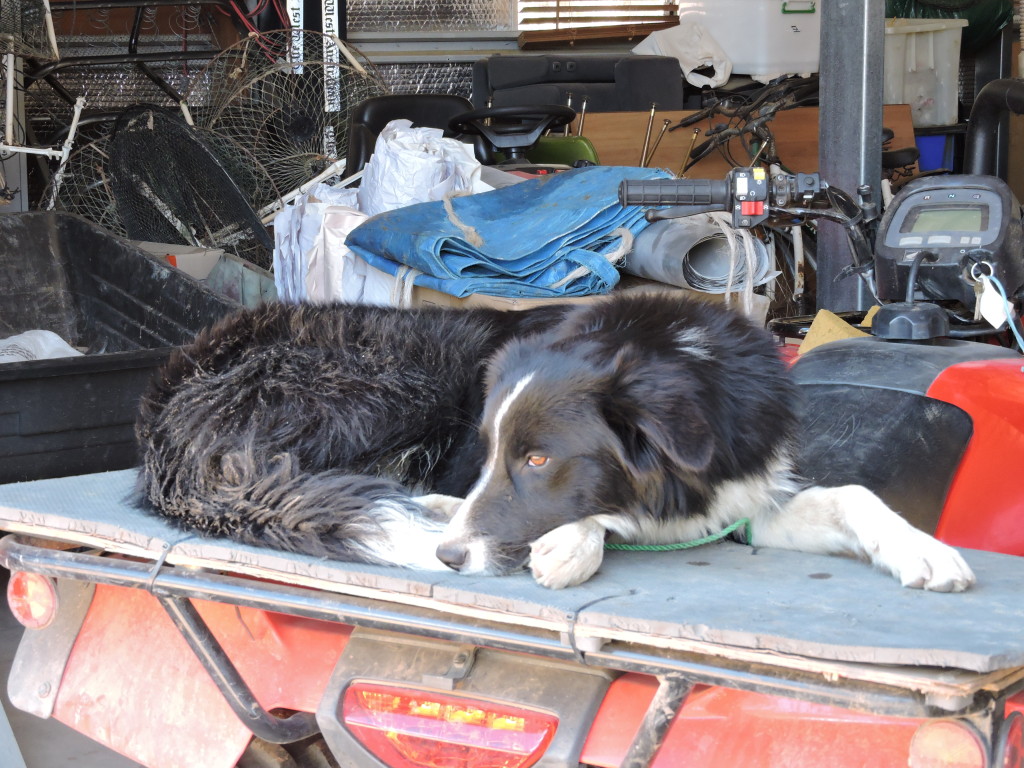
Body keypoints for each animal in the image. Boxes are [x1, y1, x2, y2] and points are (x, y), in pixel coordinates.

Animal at [136, 290, 974, 593]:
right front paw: (568, 545)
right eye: (501, 454)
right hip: (392, 378)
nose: (452, 556)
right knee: (309, 481)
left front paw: (924, 551)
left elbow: (853, 495)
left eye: (539, 459)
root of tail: (167, 393)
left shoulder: (744, 504)